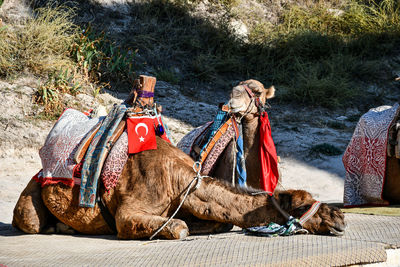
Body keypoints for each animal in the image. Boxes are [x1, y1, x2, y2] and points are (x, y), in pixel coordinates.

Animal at [12, 136, 346, 241]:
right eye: (303, 206)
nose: (340, 219)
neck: (181, 182)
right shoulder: (129, 213)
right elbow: (180, 228)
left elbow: (219, 223)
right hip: (30, 198)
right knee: (29, 220)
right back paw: (57, 227)